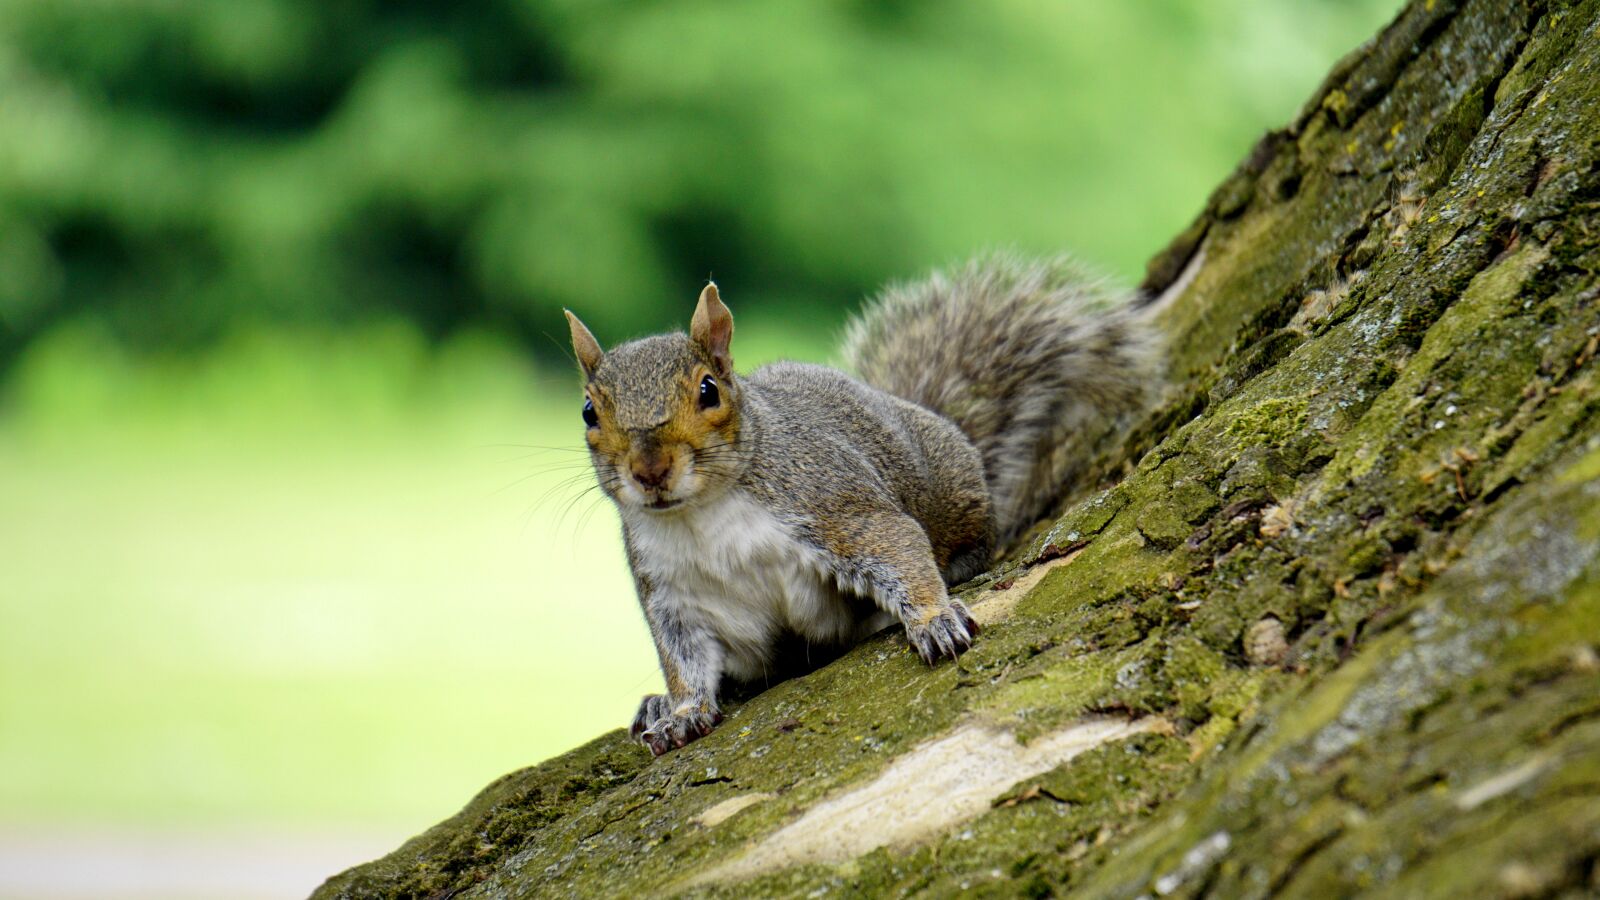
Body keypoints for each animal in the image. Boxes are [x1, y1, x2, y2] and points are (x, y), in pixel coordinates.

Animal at [564, 253, 1161, 756]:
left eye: (709, 390)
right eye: (589, 412)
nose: (649, 471)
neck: (702, 515)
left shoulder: (833, 504)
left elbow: (897, 546)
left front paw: (934, 619)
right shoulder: (673, 593)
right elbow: (683, 658)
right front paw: (682, 711)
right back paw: (655, 704)